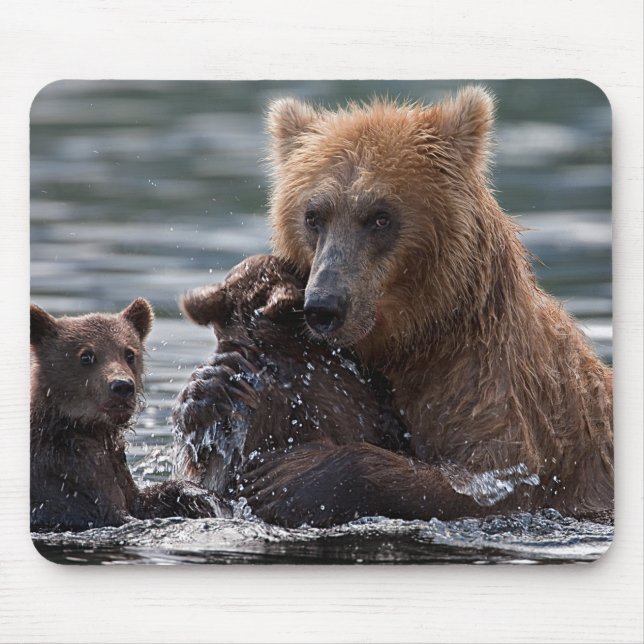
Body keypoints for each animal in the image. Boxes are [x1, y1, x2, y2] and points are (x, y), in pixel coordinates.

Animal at [30, 299, 229, 532]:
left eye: (129, 353)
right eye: (86, 356)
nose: (122, 386)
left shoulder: (115, 463)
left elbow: (140, 500)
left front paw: (200, 495)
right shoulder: (67, 473)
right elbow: (115, 513)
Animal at [237, 86, 614, 527]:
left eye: (380, 217)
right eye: (313, 216)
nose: (324, 306)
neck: (422, 337)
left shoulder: (495, 386)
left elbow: (491, 483)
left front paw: (290, 477)